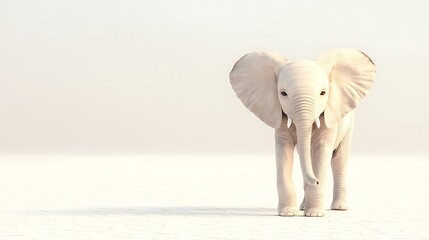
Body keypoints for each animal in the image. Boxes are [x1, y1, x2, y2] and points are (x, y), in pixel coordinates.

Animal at [227, 47, 374, 217]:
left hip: (349, 125)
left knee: (339, 160)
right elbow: (284, 149)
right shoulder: (280, 116)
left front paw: (314, 215)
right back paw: (303, 207)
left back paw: (339, 207)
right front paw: (288, 213)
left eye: (323, 93)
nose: (316, 180)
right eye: (283, 93)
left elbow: (322, 149)